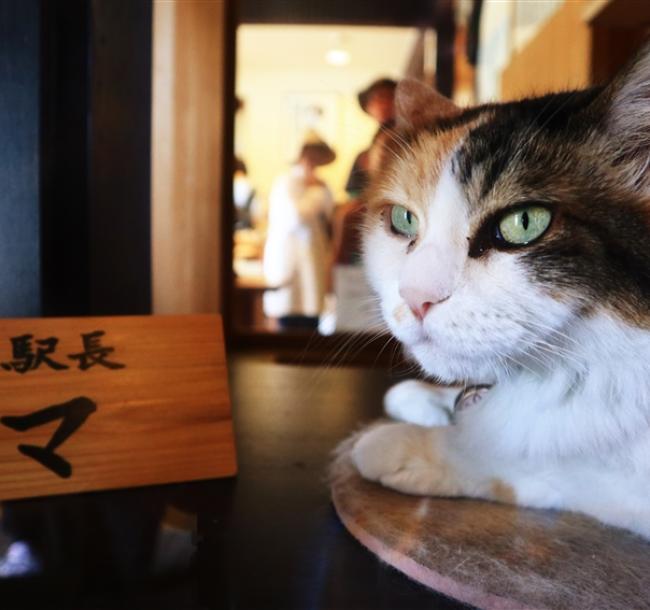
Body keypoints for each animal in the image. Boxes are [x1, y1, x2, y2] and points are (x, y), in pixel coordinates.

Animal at [352, 42, 648, 536]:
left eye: (524, 223)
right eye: (403, 220)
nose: (415, 297)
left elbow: (536, 455)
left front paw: (406, 445)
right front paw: (422, 399)